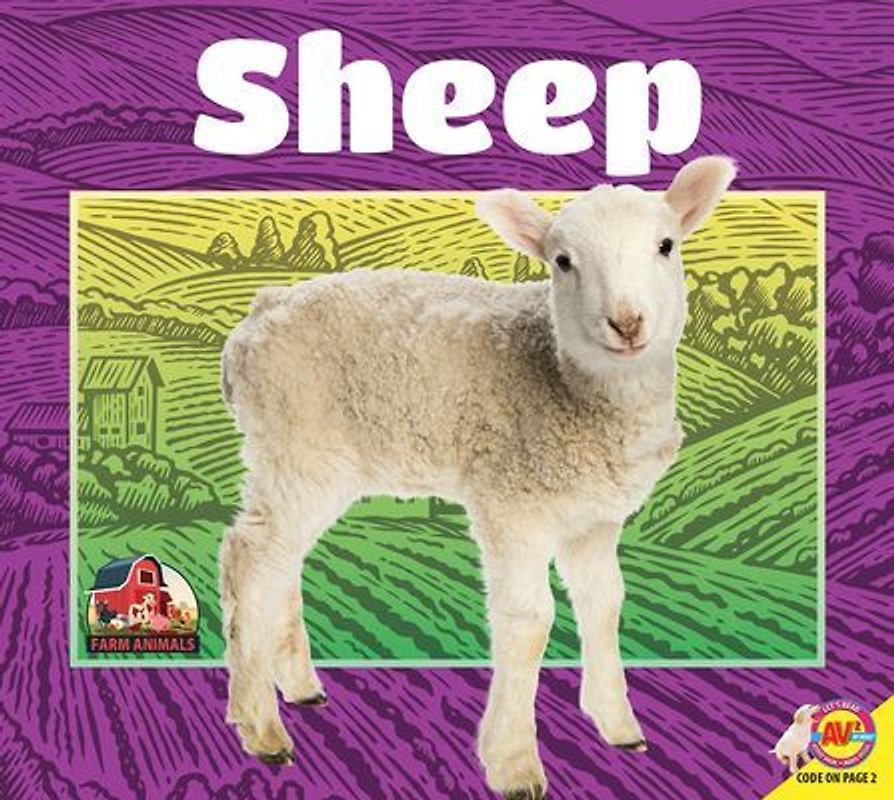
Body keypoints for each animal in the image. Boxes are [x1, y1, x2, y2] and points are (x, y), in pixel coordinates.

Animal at [218, 156, 736, 797]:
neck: (573, 388)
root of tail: (257, 315)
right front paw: (514, 761)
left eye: (666, 246)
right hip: (297, 441)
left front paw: (618, 723)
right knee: (251, 558)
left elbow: (606, 603)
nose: (627, 322)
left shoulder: (593, 517)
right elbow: (530, 621)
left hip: (305, 459)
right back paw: (260, 725)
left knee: (280, 560)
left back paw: (298, 687)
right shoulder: (510, 501)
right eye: (562, 262)